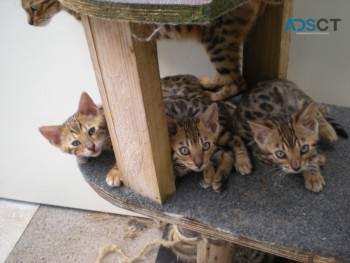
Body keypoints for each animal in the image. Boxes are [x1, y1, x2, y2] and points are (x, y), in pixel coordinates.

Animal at [138, 0, 284, 101]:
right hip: (225, 43)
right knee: (232, 77)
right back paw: (207, 83)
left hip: (217, 42)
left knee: (238, 83)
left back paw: (210, 96)